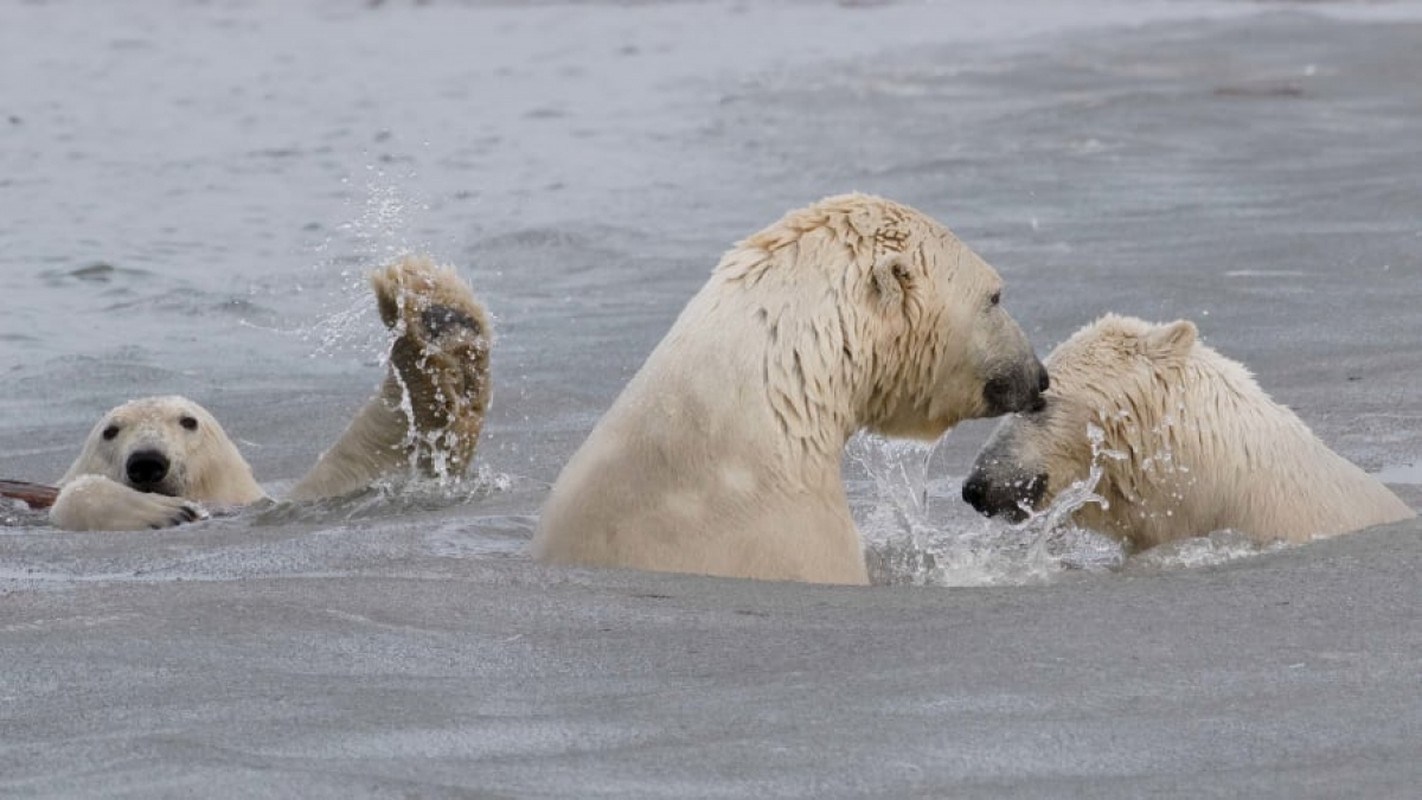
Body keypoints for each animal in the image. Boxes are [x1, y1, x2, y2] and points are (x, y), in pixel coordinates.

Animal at [48, 257, 494, 531]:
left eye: (188, 422)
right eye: (110, 431)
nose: (147, 462)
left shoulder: (272, 503)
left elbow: (375, 458)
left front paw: (437, 316)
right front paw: (159, 512)